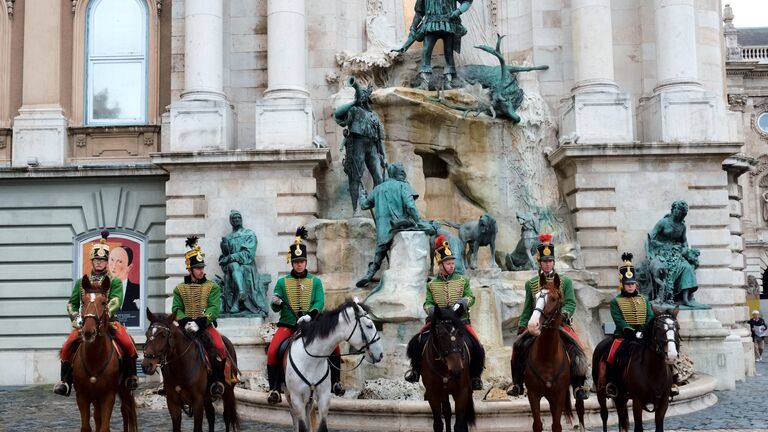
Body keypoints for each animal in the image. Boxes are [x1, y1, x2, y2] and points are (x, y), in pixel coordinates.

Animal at [72, 276, 138, 432]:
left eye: (103, 302)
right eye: (83, 301)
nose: (88, 332)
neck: (94, 358)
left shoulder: (108, 396)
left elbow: (104, 427)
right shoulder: (82, 397)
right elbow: (86, 427)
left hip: (125, 389)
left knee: (128, 411)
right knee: (101, 416)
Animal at [284, 298, 384, 432]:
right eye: (369, 325)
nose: (381, 354)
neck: (311, 361)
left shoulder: (324, 397)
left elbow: (322, 426)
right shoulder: (297, 399)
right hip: (289, 395)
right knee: (293, 415)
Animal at [524, 284, 584, 432]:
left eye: (553, 299)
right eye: (535, 297)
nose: (533, 325)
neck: (547, 356)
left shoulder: (558, 395)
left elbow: (556, 426)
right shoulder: (533, 394)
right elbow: (537, 424)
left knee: (580, 410)